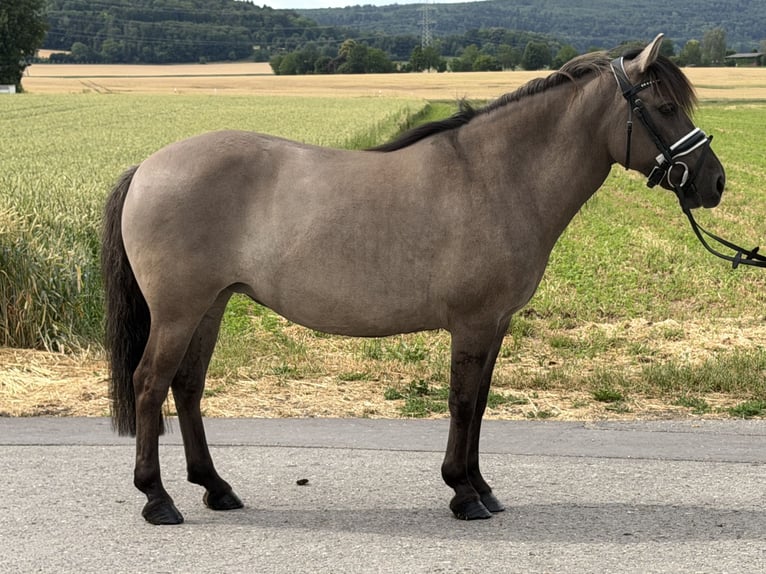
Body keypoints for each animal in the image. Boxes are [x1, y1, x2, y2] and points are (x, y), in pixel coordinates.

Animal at [101, 34, 725, 525]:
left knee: (187, 387)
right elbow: (461, 402)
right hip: (179, 311)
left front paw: (482, 488)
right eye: (666, 105)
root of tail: (147, 167)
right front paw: (463, 493)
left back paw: (216, 488)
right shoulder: (473, 324)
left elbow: (480, 403)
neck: (497, 176)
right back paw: (157, 500)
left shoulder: (495, 325)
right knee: (149, 384)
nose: (714, 182)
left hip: (210, 305)